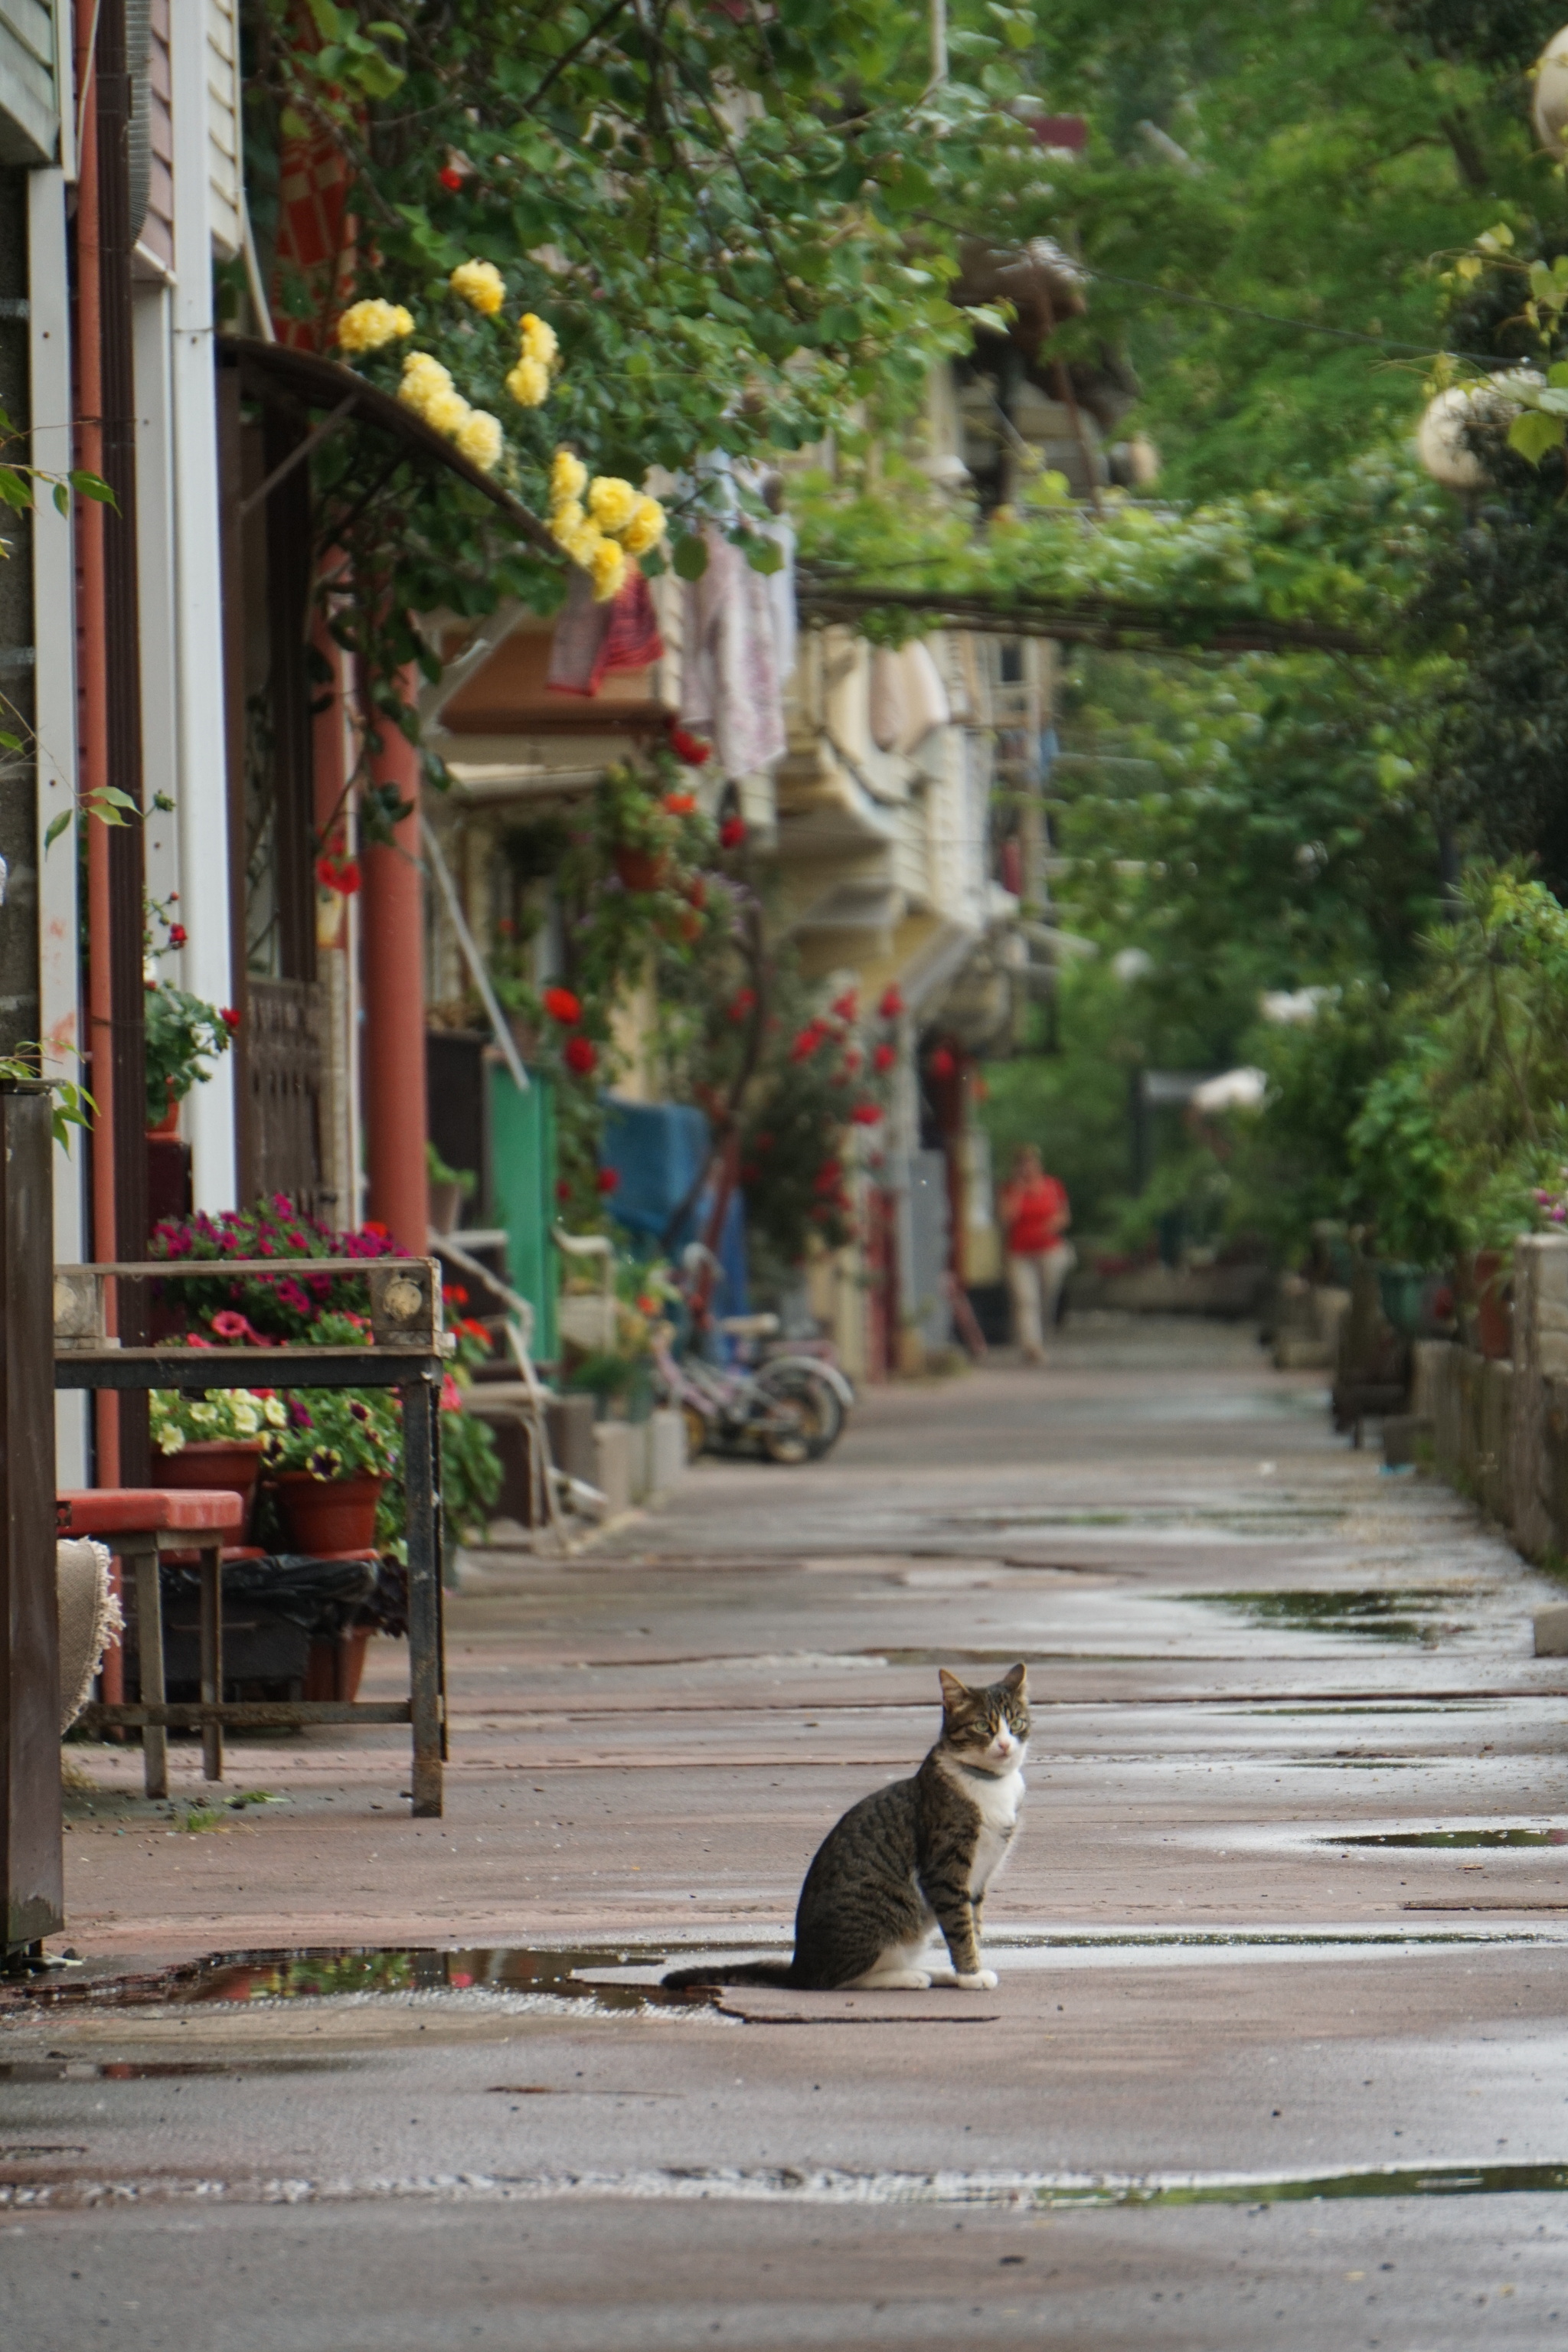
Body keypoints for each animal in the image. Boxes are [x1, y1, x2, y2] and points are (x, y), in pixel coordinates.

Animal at [662, 1664, 1029, 1994]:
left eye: (1016, 1724)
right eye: (982, 1726)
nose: (1005, 1745)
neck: (989, 1784)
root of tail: (799, 1968)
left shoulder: (978, 1880)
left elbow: (973, 1925)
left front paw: (969, 1969)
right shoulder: (946, 1870)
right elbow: (960, 1927)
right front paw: (970, 1975)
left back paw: (936, 1973)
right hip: (885, 1913)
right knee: (838, 1980)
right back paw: (912, 1977)